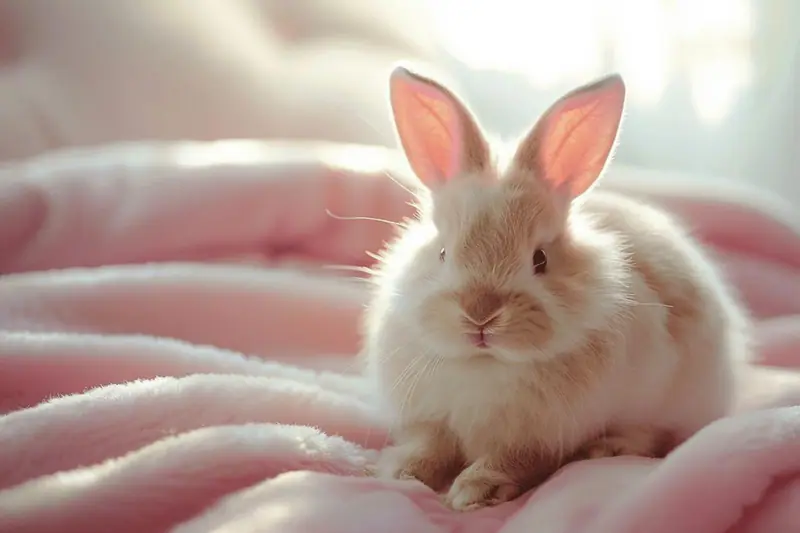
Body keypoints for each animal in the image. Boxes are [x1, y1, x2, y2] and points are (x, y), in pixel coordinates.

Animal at [361, 65, 751, 512]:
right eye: (442, 252)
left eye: (540, 259)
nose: (480, 313)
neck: (485, 365)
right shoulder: (431, 419)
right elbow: (429, 445)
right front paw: (401, 472)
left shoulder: (540, 436)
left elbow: (511, 459)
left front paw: (474, 491)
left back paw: (608, 448)